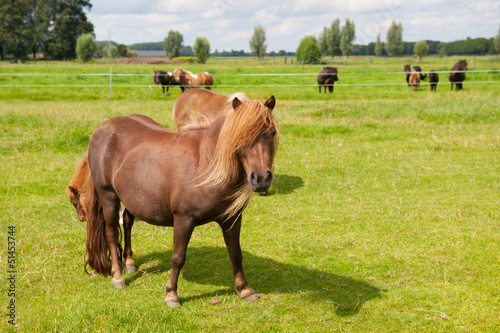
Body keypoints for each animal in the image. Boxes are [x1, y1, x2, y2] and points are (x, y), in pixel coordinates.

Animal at [82, 95, 278, 306]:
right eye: (240, 137)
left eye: (272, 133)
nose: (261, 178)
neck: (206, 164)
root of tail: (102, 128)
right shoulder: (184, 219)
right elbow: (178, 257)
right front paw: (171, 294)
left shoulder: (231, 219)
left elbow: (235, 253)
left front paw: (244, 289)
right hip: (108, 196)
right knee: (111, 233)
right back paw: (118, 277)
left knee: (127, 224)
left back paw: (130, 263)